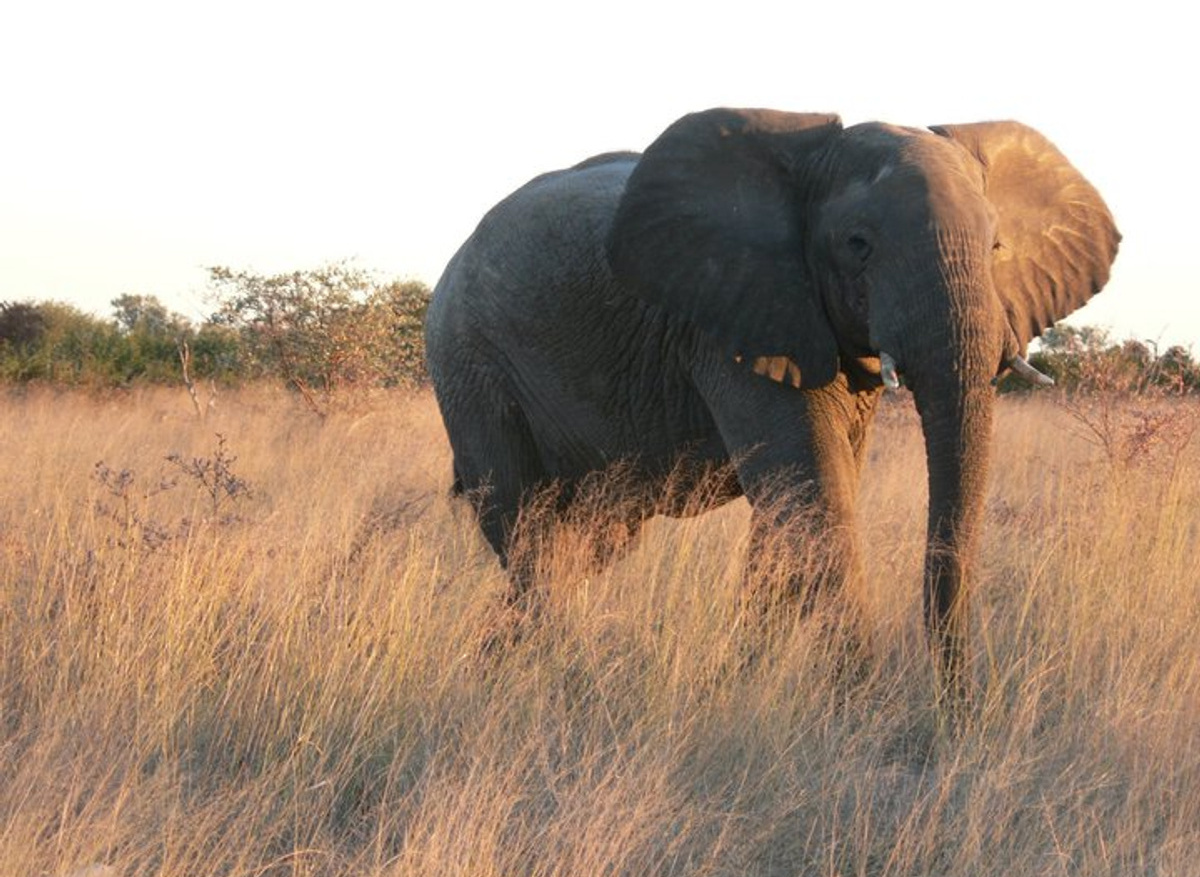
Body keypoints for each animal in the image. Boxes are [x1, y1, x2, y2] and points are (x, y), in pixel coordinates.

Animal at [424, 108, 1120, 695]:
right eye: (857, 244)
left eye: (996, 246)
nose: (961, 718)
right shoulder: (732, 320)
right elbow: (815, 498)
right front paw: (858, 714)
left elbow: (798, 504)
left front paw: (741, 682)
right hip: (468, 363)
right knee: (531, 535)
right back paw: (531, 671)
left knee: (589, 544)